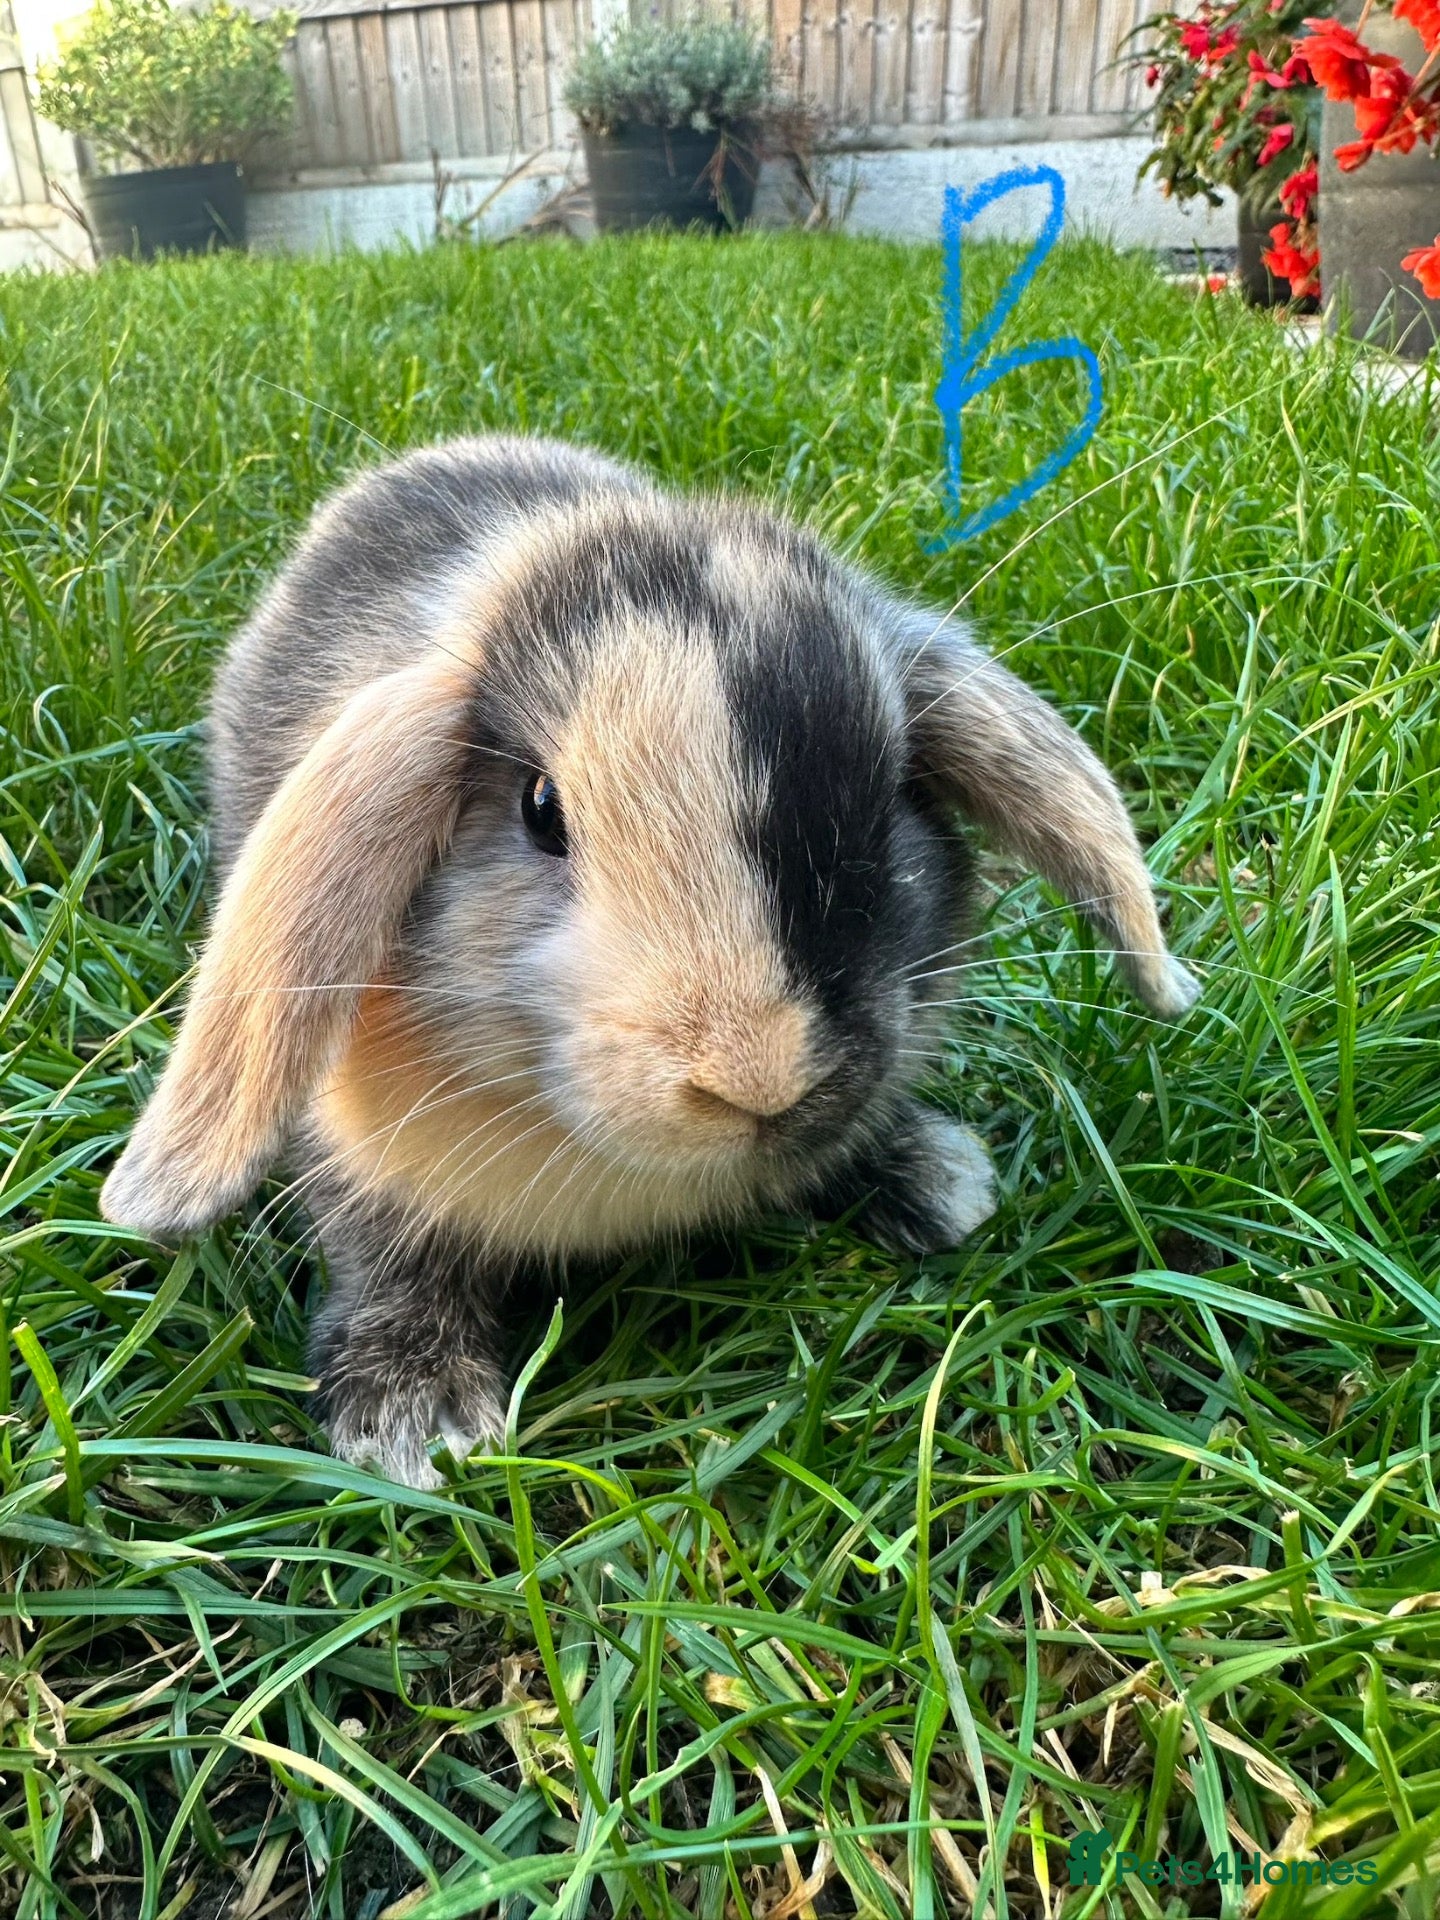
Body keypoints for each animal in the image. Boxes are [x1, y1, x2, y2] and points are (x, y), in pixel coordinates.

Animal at [100, 434, 1200, 1489]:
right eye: (541, 810)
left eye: (886, 798)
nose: (757, 1076)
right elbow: (385, 1254)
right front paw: (415, 1422)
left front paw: (933, 1182)